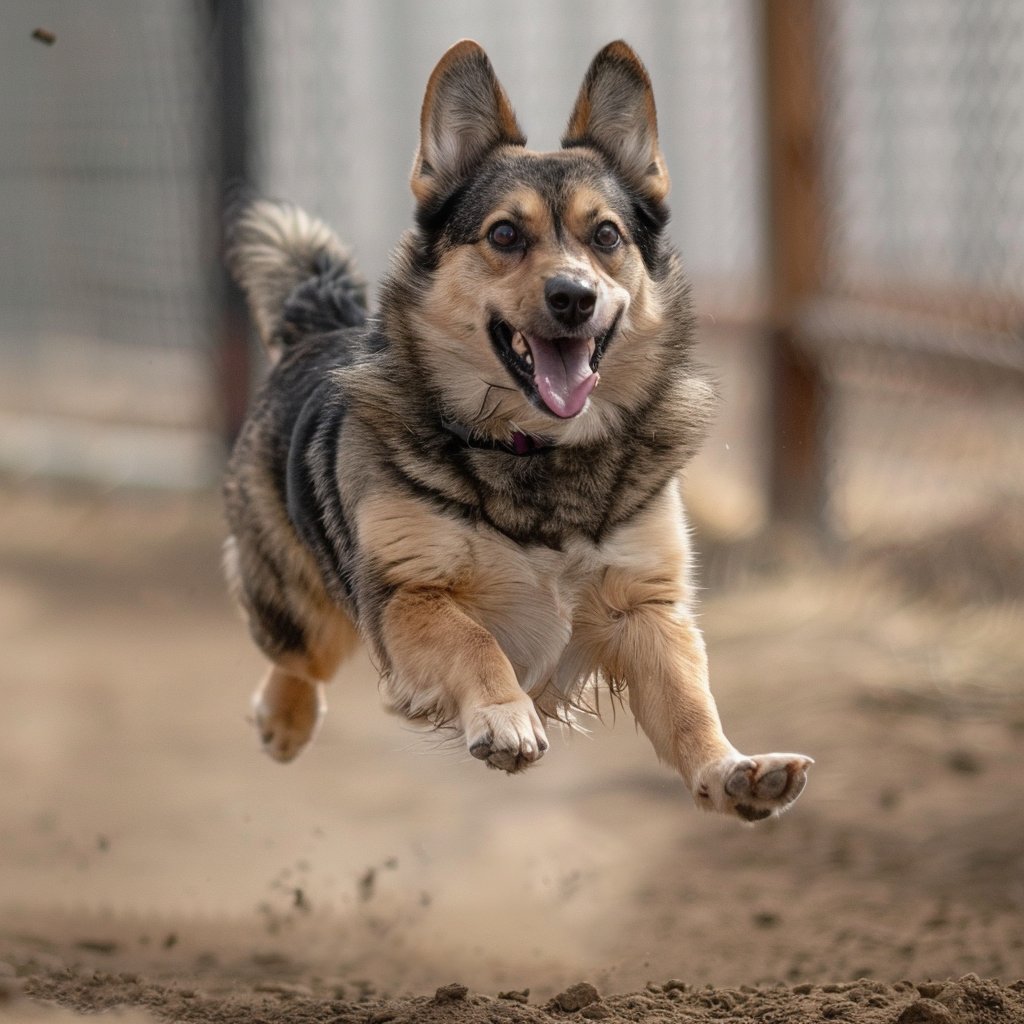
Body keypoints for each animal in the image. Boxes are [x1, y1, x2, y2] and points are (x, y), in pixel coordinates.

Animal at [220, 41, 811, 823]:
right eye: (504, 234)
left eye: (606, 236)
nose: (573, 297)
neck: (538, 451)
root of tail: (318, 326)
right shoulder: (410, 593)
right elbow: (474, 642)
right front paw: (504, 715)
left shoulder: (646, 608)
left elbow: (690, 703)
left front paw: (731, 770)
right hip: (299, 604)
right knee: (297, 655)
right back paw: (283, 720)